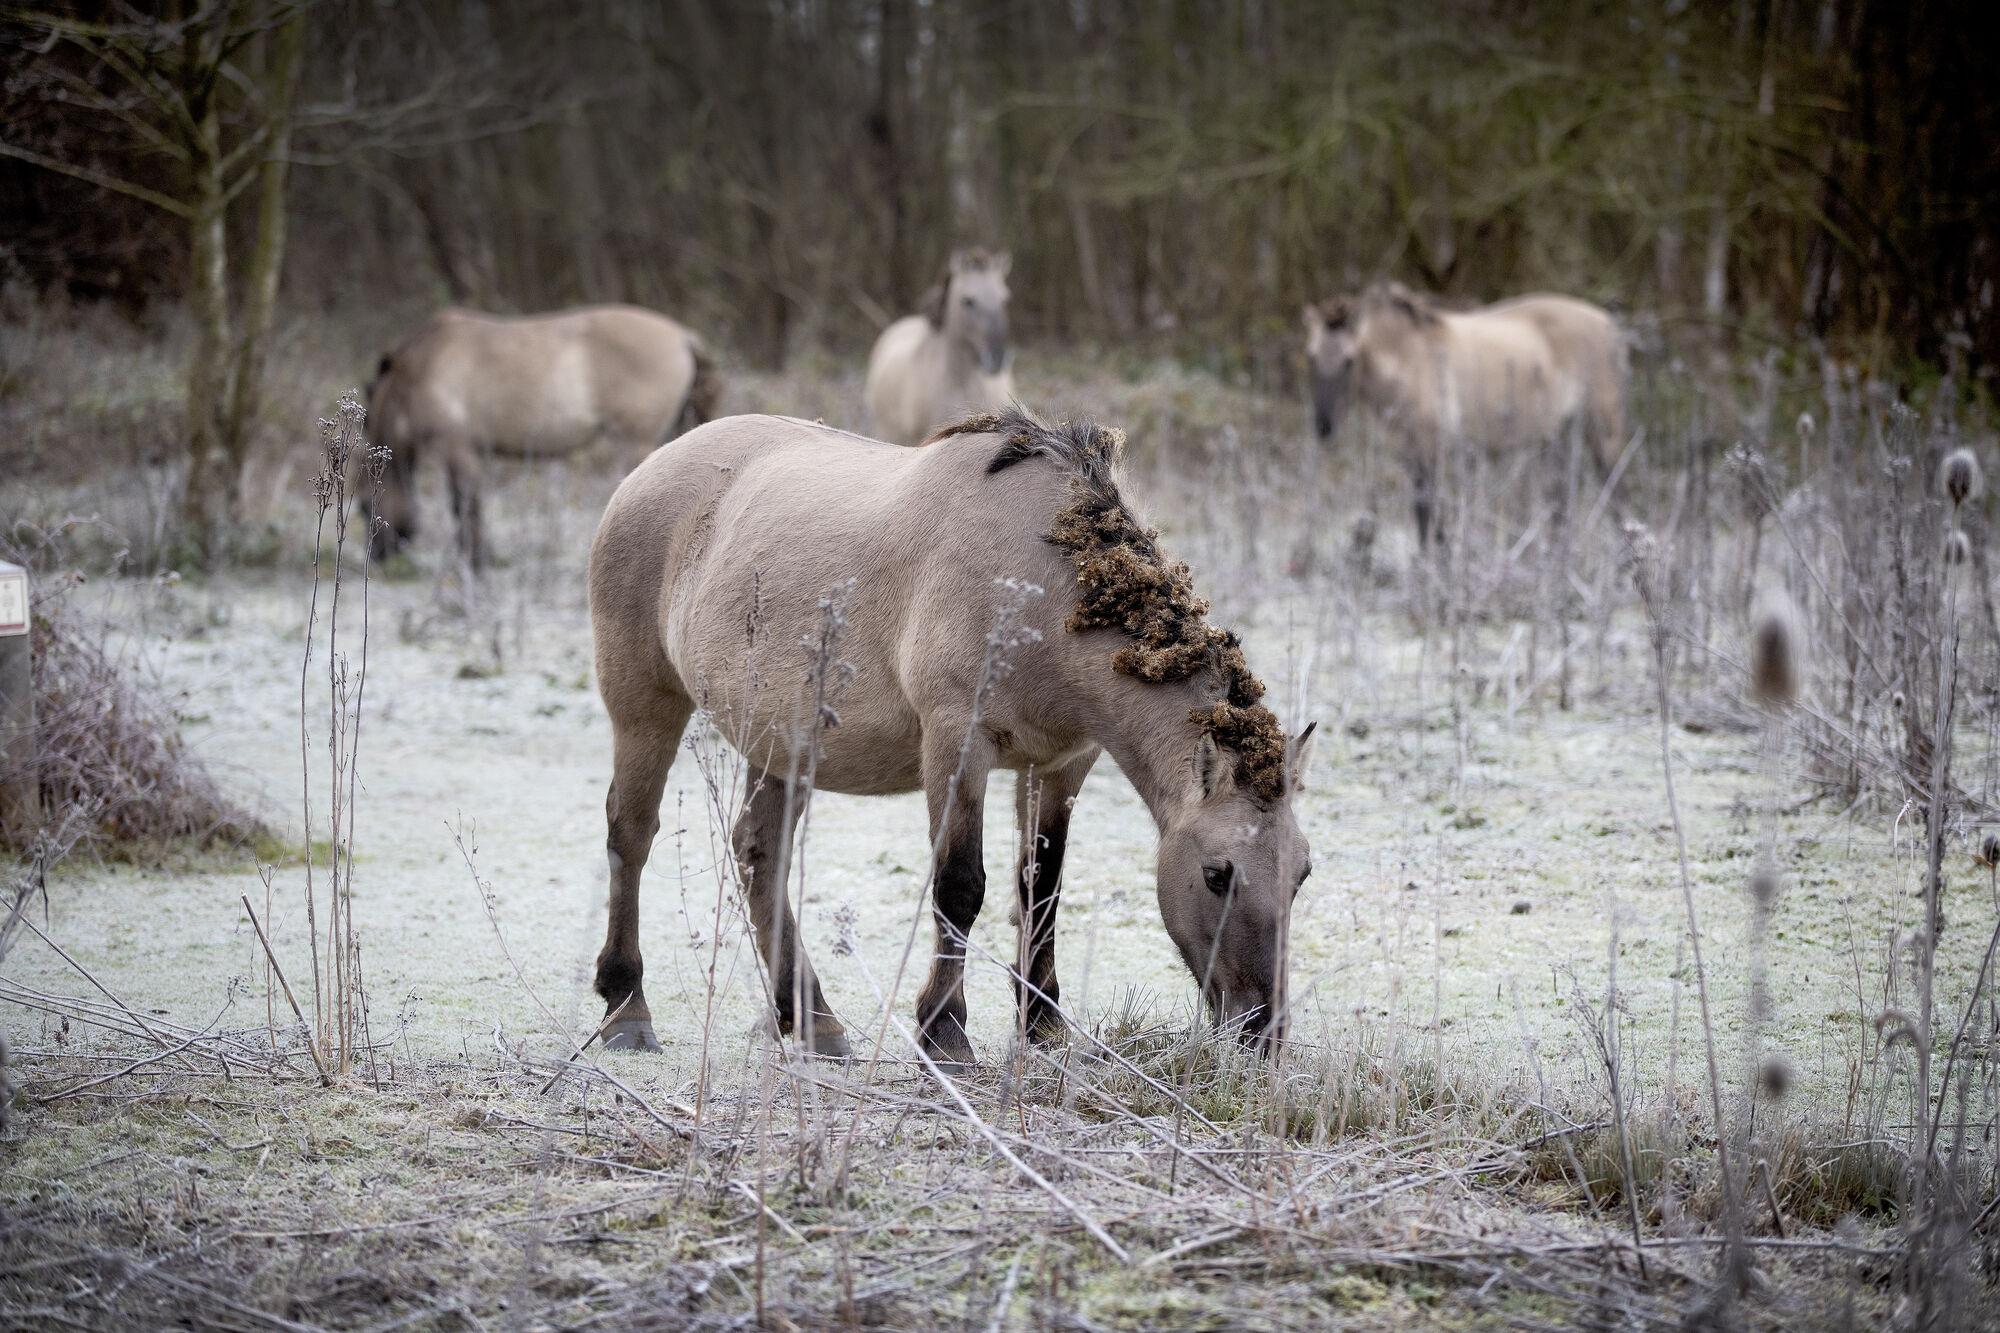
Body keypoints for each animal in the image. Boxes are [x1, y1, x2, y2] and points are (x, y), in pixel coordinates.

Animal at [368, 304, 720, 564]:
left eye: (362, 503)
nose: (381, 556)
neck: (420, 369)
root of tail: (683, 336)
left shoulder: (457, 449)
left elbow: (464, 504)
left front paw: (475, 561)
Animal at [584, 404, 1320, 1056]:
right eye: (1218, 873)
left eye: (1302, 872)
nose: (1262, 1029)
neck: (1039, 581)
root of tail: (648, 471)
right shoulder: (955, 744)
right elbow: (960, 886)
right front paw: (944, 1031)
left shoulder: (1061, 764)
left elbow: (1041, 889)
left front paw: (1043, 1027)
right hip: (644, 705)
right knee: (630, 834)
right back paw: (627, 1008)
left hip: (780, 739)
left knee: (759, 855)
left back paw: (815, 1021)